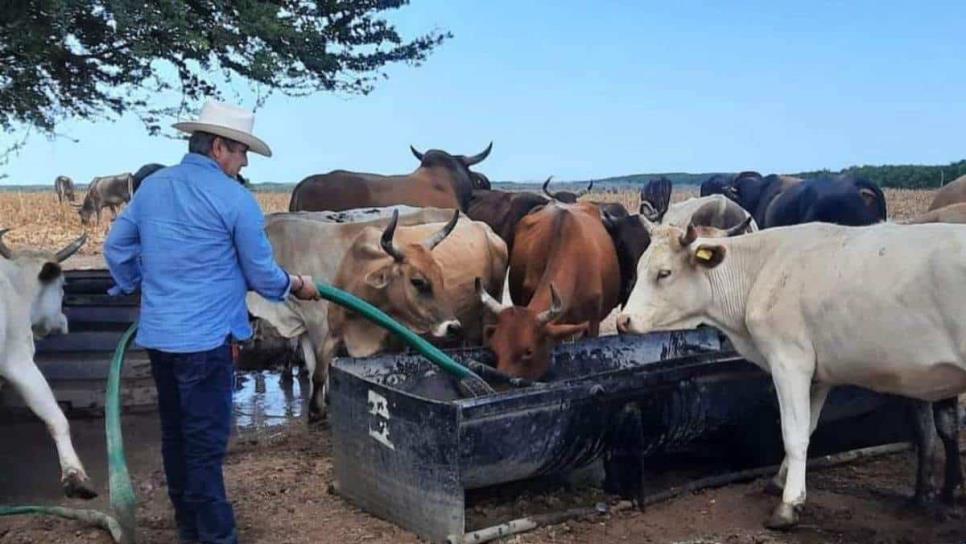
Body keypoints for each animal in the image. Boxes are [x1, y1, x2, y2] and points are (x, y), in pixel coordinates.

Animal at [246, 206, 510, 418]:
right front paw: (315, 410)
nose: (451, 325)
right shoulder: (314, 327)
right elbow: (315, 370)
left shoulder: (319, 323)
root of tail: (483, 227)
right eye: (417, 282)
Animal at [620, 220, 966, 528]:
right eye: (639, 268)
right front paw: (779, 480)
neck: (761, 270)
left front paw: (788, 505)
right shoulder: (818, 374)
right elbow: (808, 426)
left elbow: (793, 433)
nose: (624, 320)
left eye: (664, 273)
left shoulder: (789, 361)